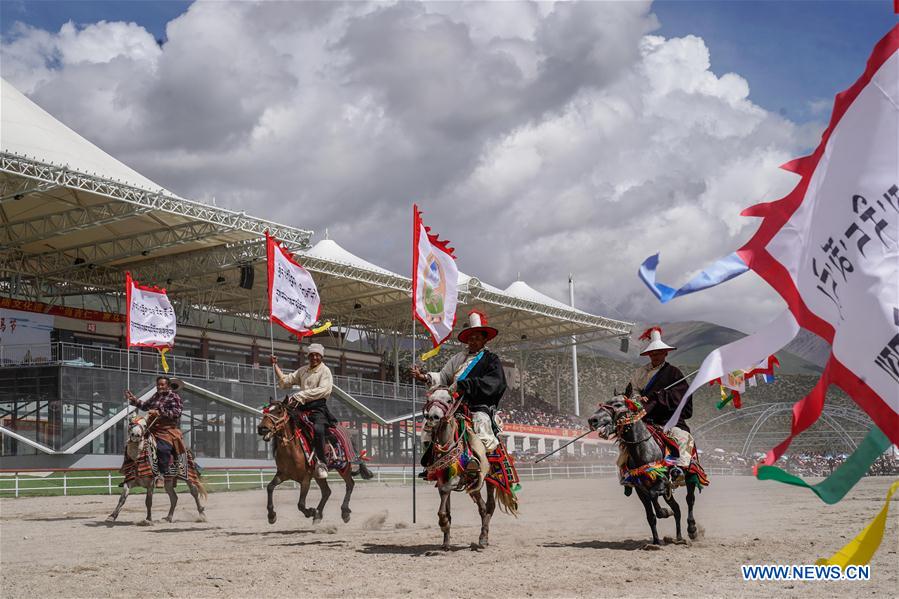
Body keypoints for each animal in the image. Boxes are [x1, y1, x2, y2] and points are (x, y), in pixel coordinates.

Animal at [420, 390, 516, 552]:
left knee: (489, 506)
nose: (432, 417)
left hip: (490, 479)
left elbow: (445, 497)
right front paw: (446, 542)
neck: (449, 443)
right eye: (429, 399)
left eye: (449, 399)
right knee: (482, 507)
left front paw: (443, 523)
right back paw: (483, 538)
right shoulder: (442, 478)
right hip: (475, 484)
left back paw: (483, 539)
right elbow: (446, 506)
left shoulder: (455, 479)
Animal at [588, 394, 708, 548]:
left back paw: (692, 530)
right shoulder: (641, 489)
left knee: (689, 500)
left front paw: (664, 512)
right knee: (677, 508)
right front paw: (655, 542)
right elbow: (651, 515)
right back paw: (678, 537)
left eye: (618, 404)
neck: (643, 449)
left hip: (690, 476)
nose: (593, 420)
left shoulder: (662, 482)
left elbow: (655, 500)